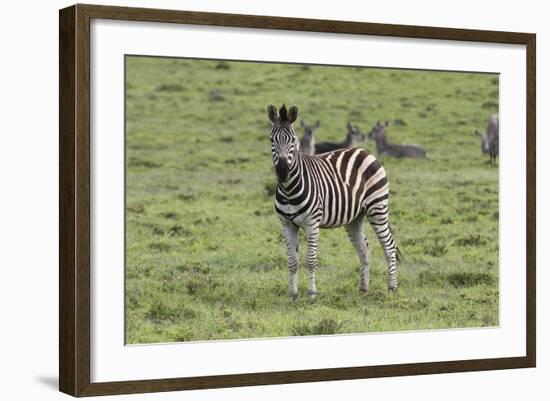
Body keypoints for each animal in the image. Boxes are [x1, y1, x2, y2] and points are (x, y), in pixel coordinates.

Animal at [268, 104, 402, 298]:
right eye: (272, 139)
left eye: (293, 140)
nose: (283, 172)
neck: (288, 189)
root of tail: (364, 151)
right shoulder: (286, 225)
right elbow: (292, 262)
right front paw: (293, 295)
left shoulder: (312, 223)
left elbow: (311, 260)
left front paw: (312, 293)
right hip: (355, 218)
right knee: (365, 249)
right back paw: (363, 289)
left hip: (378, 207)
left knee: (389, 247)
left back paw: (392, 288)